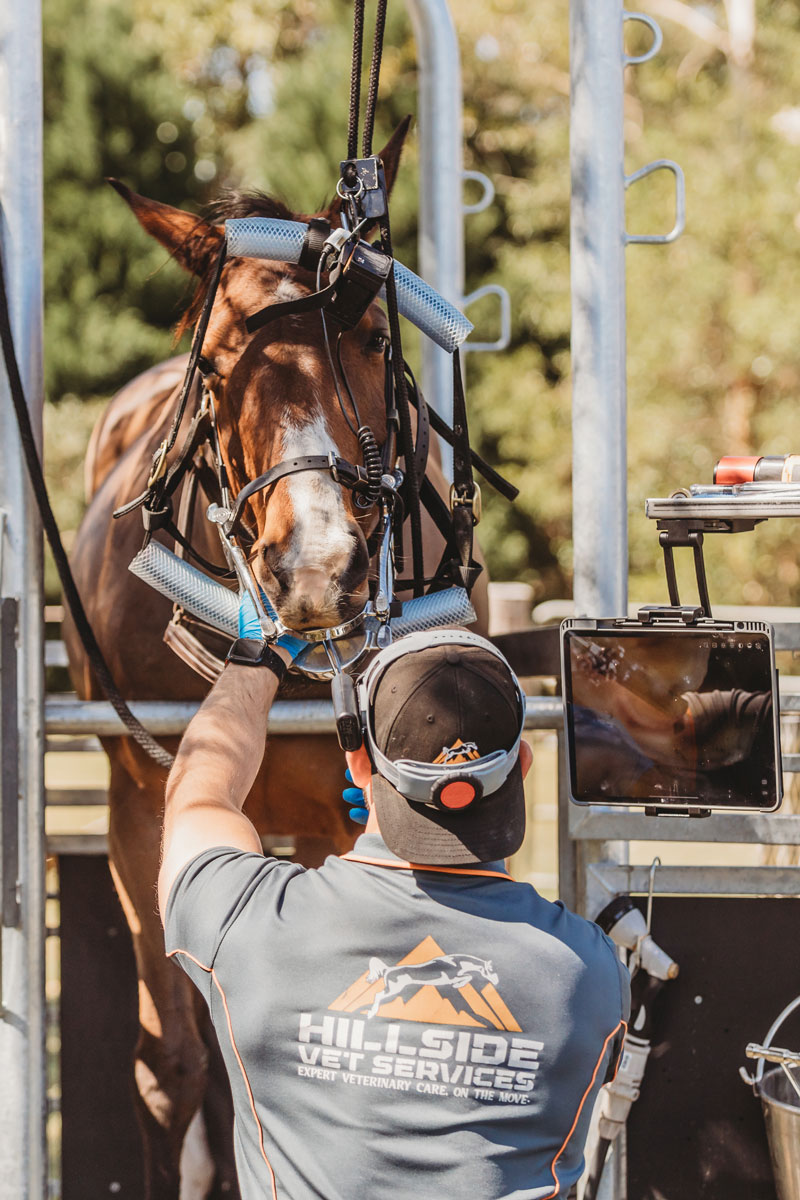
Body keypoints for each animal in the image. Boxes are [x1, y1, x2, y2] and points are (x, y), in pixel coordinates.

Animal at [64, 120, 489, 1200]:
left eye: (375, 339)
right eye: (215, 367)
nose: (317, 569)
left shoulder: (353, 813)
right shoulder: (142, 808)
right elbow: (174, 1057)